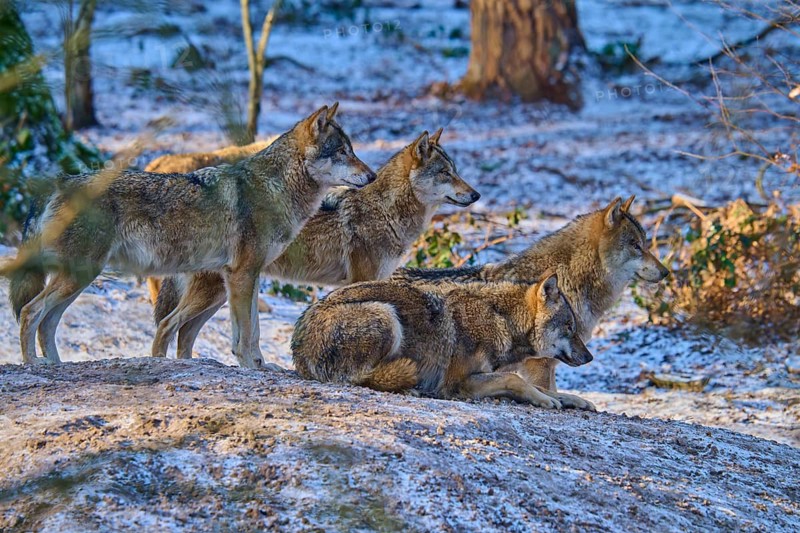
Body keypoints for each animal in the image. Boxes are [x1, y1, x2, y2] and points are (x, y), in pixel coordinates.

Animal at [6, 103, 376, 368]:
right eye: (342, 152)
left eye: (352, 150)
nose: (372, 176)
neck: (275, 189)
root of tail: (59, 182)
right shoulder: (242, 274)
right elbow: (245, 333)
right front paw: (250, 366)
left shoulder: (247, 275)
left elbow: (251, 329)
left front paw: (259, 365)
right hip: (81, 274)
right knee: (30, 312)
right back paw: (32, 364)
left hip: (82, 277)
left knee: (47, 322)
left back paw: (55, 364)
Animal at [149, 128, 480, 360]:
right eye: (445, 173)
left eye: (455, 171)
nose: (476, 194)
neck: (385, 210)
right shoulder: (361, 280)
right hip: (216, 292)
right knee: (167, 325)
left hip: (221, 295)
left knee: (184, 334)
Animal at [291, 274, 594, 409]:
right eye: (570, 327)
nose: (590, 357)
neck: (500, 319)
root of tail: (298, 345)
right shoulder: (458, 383)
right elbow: (515, 379)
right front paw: (545, 400)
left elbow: (537, 385)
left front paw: (572, 399)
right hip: (386, 313)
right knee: (362, 377)